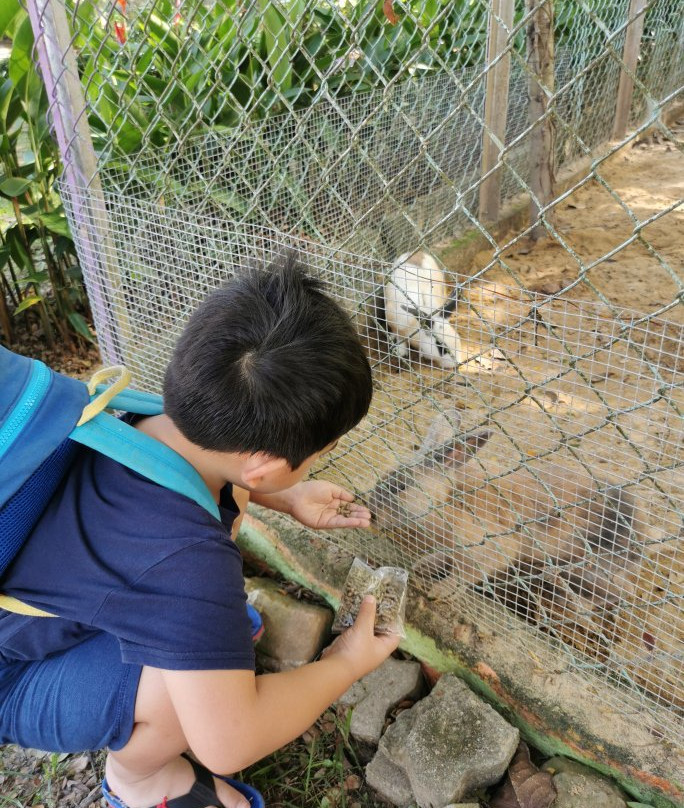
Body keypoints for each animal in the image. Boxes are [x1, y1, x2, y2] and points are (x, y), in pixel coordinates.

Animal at [366, 410, 644, 608]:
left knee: (619, 595)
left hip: (589, 567)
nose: (370, 514)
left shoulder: (489, 549)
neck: (448, 498)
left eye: (401, 487)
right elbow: (448, 559)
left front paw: (441, 591)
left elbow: (465, 574)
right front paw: (424, 565)